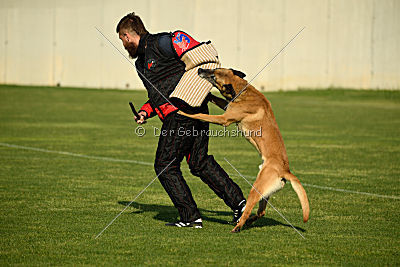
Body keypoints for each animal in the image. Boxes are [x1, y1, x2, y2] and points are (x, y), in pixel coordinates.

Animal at [177, 68, 310, 233]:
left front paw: (182, 112)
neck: (242, 90)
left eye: (213, 76)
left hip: (257, 188)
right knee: (261, 212)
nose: (200, 69)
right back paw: (246, 221)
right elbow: (216, 99)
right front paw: (207, 96)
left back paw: (238, 226)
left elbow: (200, 115)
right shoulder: (227, 107)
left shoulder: (224, 119)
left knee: (248, 208)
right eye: (213, 70)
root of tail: (285, 170)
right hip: (265, 194)